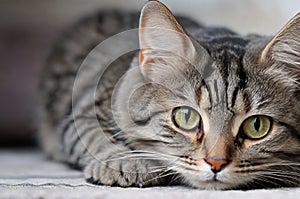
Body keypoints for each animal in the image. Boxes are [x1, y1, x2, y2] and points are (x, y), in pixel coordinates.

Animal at [37, 0, 300, 190]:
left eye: (257, 126)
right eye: (186, 117)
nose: (216, 163)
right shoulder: (83, 111)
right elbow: (94, 137)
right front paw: (125, 161)